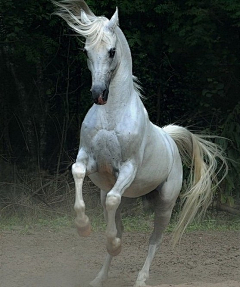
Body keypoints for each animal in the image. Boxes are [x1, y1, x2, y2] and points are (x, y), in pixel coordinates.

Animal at [53, 1, 227, 286]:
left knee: (154, 240)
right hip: (119, 195)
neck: (112, 115)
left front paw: (113, 244)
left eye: (111, 51)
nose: (98, 94)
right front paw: (84, 227)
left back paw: (141, 278)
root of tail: (169, 138)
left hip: (165, 204)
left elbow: (115, 205)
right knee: (118, 220)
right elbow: (78, 174)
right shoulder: (88, 159)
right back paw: (100, 277)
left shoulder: (127, 168)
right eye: (86, 50)